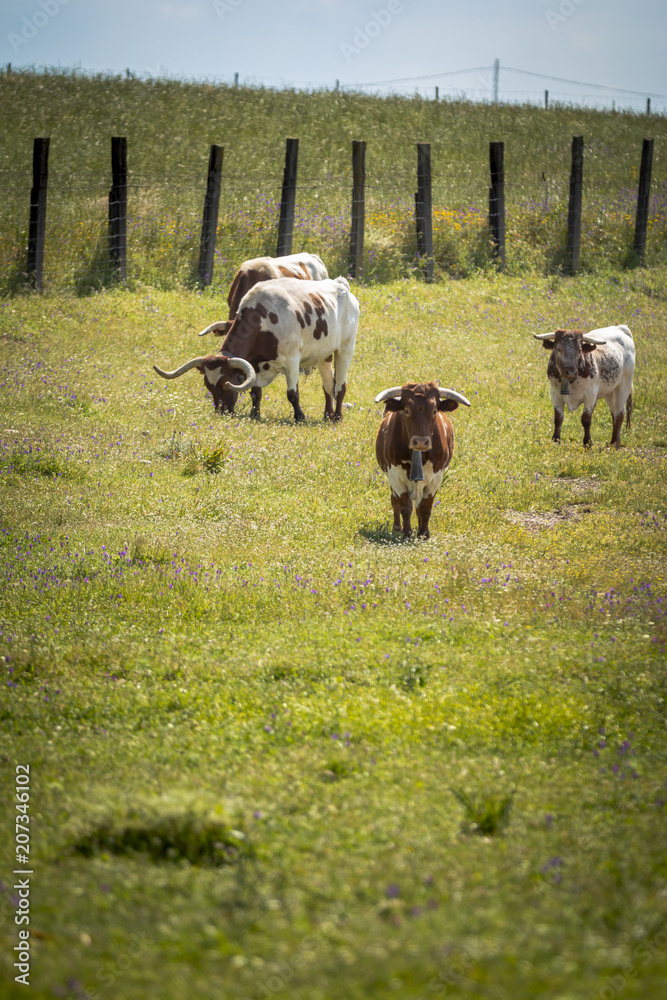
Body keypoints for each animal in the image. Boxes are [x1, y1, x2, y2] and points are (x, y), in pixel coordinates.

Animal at [153, 276, 359, 423]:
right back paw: (327, 415)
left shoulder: (292, 362)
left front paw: (299, 417)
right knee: (328, 386)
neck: (262, 320)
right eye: (209, 387)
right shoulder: (254, 365)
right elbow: (255, 392)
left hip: (345, 349)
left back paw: (337, 417)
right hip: (324, 355)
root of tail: (342, 285)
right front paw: (255, 414)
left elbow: (292, 394)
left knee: (340, 386)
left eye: (226, 383)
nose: (221, 412)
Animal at [374, 381, 471, 539]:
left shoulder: (436, 478)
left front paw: (423, 534)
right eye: (406, 410)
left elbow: (425, 507)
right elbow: (405, 506)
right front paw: (407, 533)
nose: (420, 442)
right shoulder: (395, 476)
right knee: (395, 502)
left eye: (434, 411)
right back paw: (396, 529)